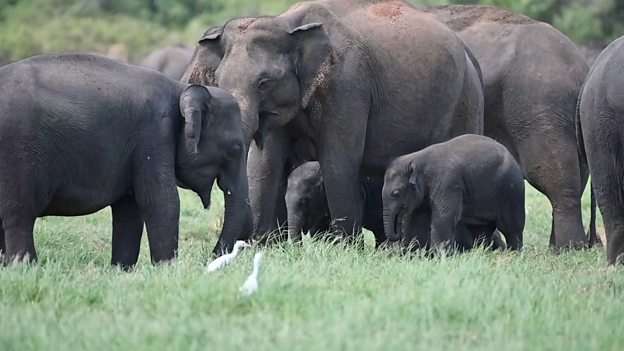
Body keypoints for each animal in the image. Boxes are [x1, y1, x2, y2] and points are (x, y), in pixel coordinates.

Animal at [0, 53, 254, 266]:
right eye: (236, 147)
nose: (210, 258)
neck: (180, 88)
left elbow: (129, 208)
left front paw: (122, 269)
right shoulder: (154, 134)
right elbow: (161, 201)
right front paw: (167, 268)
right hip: (17, 154)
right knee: (19, 214)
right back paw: (25, 266)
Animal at [183, 0, 486, 241]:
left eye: (264, 82)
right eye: (219, 81)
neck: (288, 23)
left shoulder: (347, 86)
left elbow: (338, 163)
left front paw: (346, 250)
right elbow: (264, 164)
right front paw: (264, 248)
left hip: (464, 102)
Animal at [382, 133, 524, 252]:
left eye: (396, 193)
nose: (397, 234)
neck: (416, 158)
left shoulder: (448, 182)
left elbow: (444, 217)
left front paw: (439, 256)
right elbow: (417, 219)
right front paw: (413, 253)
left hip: (511, 191)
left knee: (511, 228)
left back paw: (513, 254)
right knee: (481, 229)